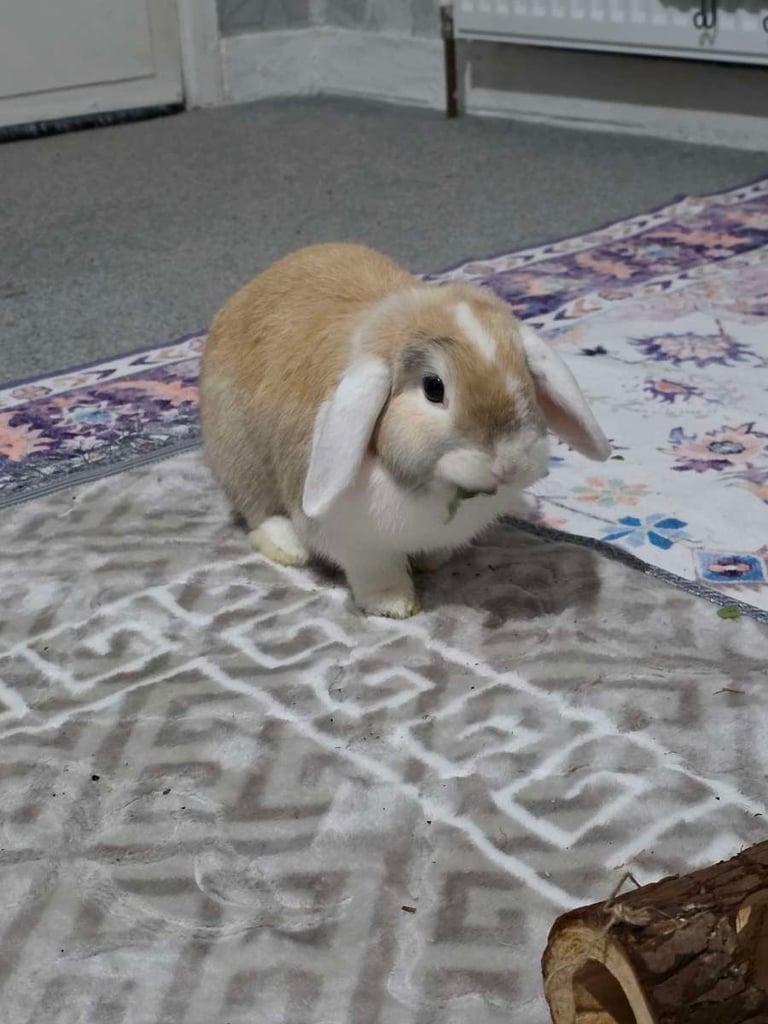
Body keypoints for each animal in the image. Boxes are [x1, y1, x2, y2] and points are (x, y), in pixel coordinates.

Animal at [200, 243, 610, 618]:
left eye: (524, 375)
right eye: (433, 388)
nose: (509, 463)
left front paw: (432, 562)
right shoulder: (357, 543)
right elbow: (378, 573)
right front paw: (394, 606)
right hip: (239, 455)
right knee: (259, 510)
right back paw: (290, 547)